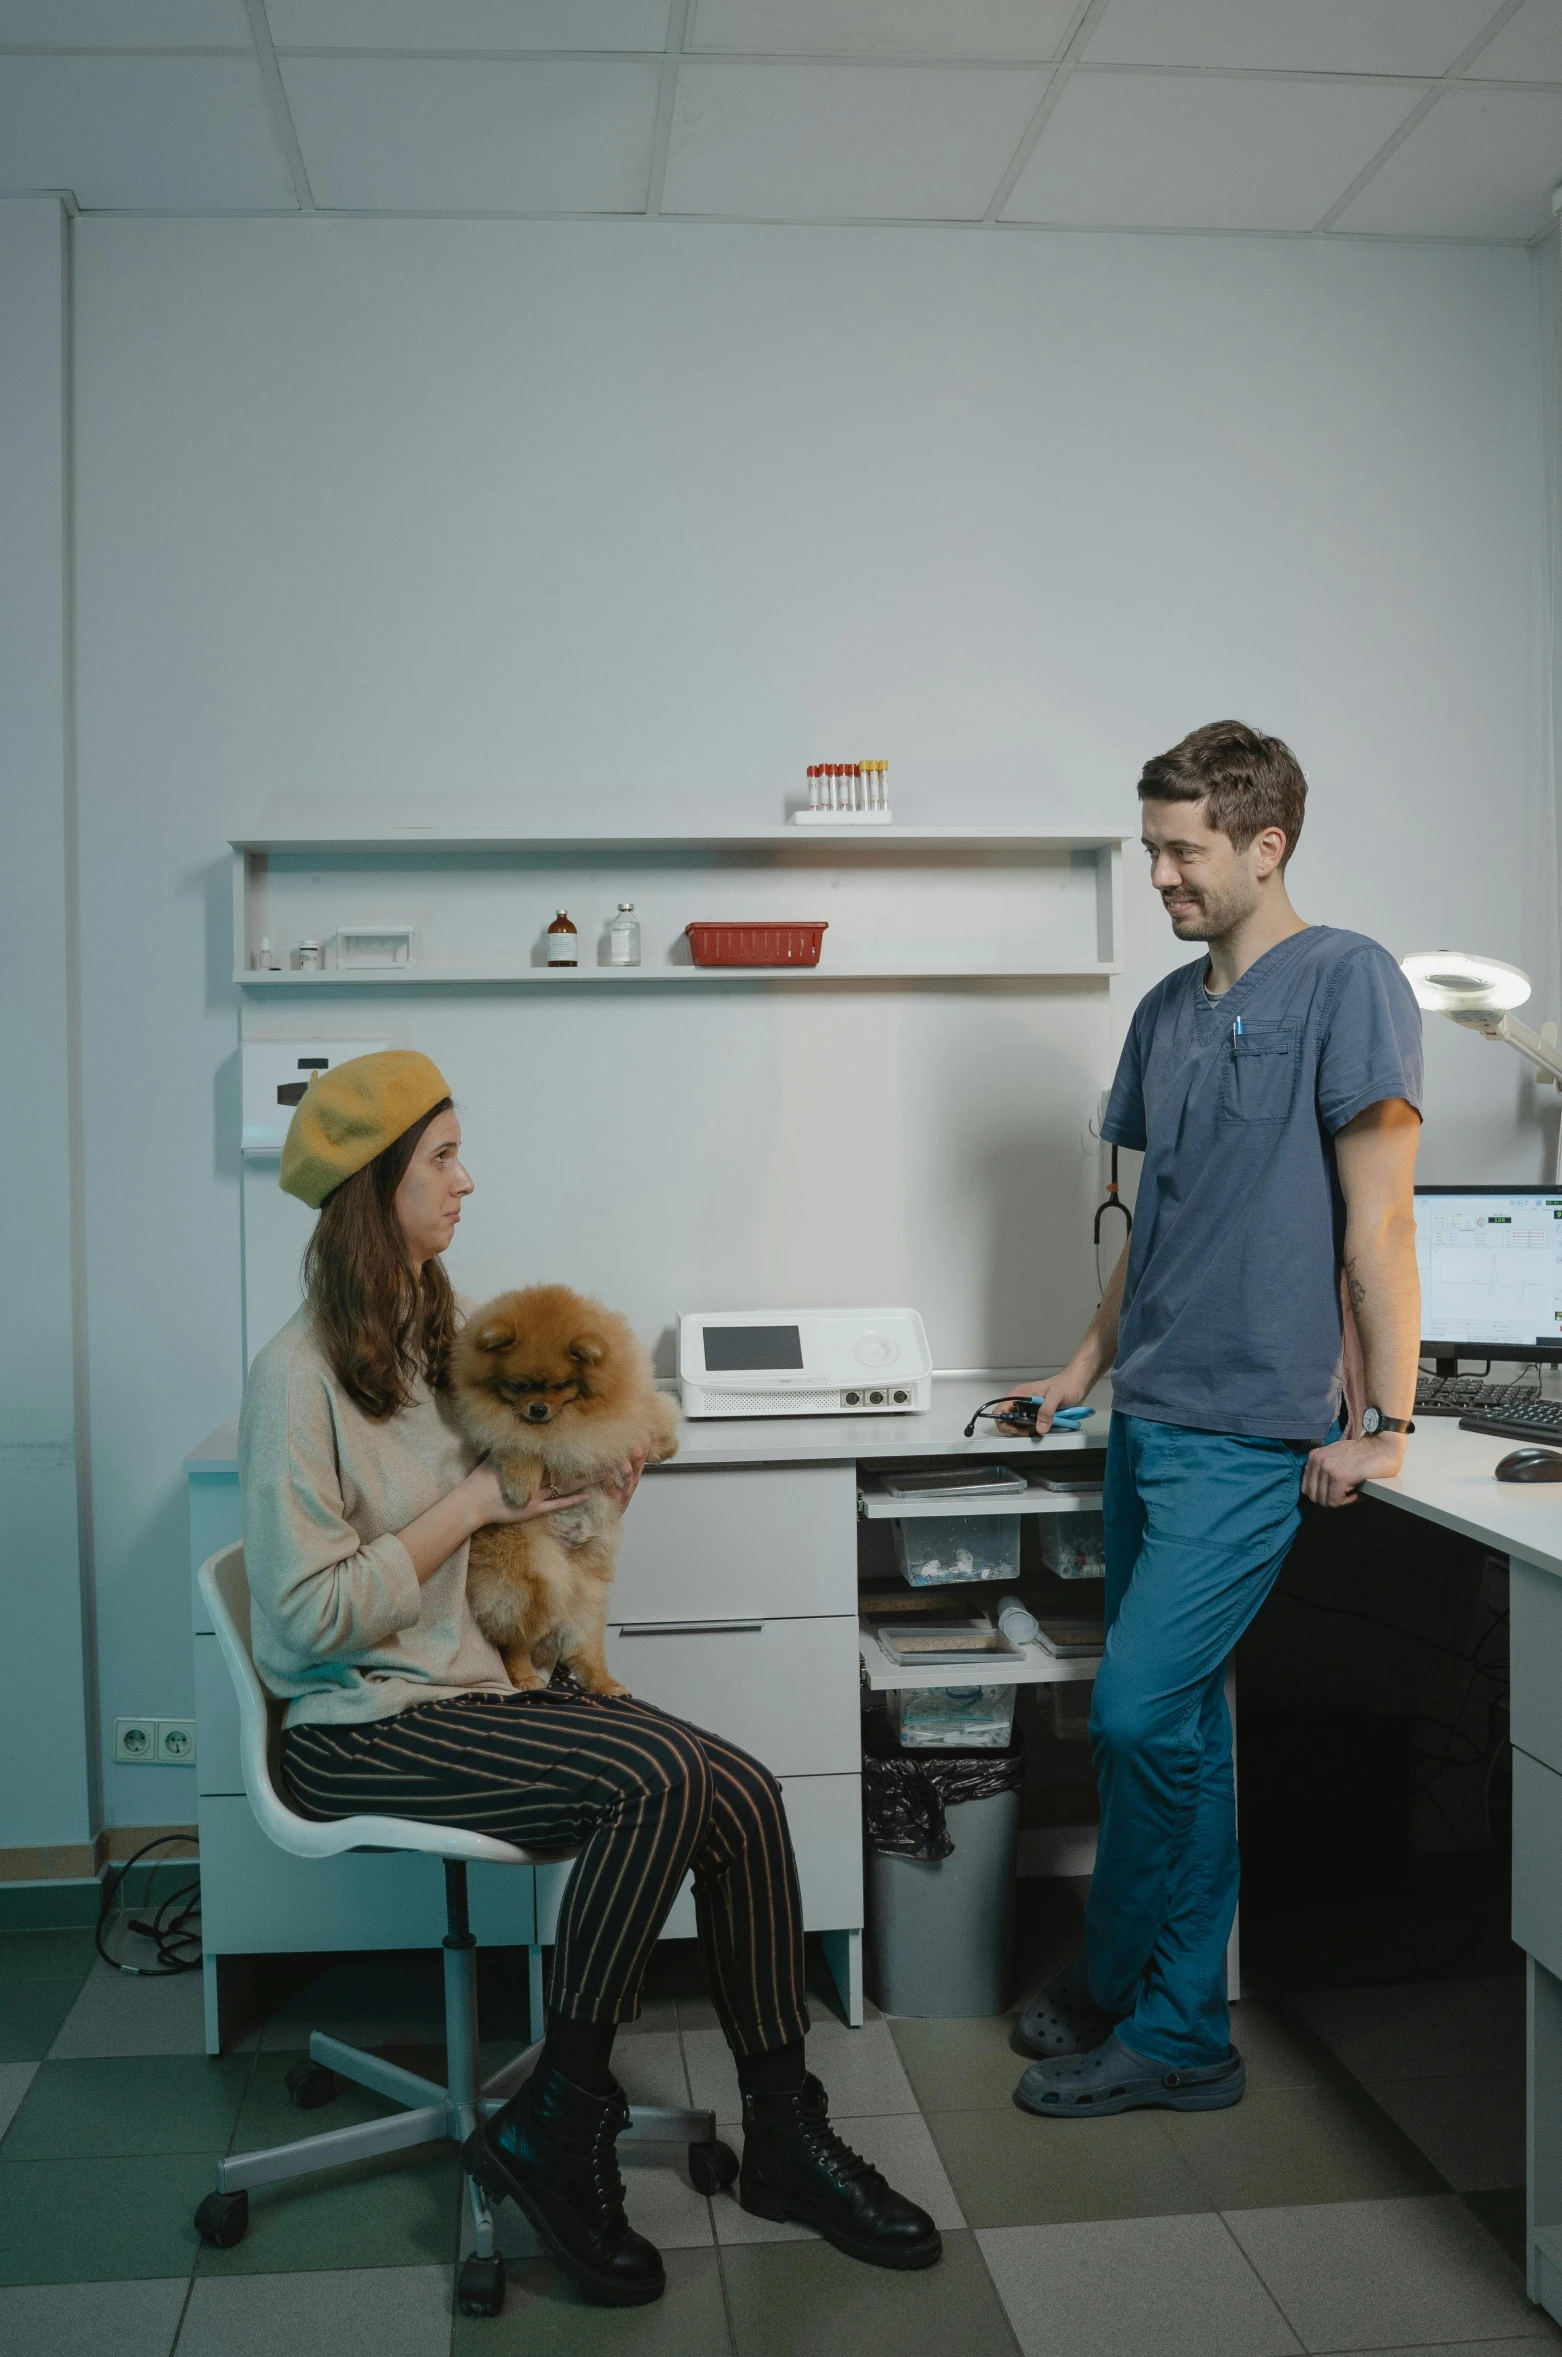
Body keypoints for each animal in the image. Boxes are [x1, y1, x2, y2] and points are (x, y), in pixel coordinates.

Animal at [445, 1291, 678, 1697]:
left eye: (560, 1385)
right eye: (519, 1386)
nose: (538, 1409)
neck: (574, 1416)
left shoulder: (628, 1406)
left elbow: (653, 1411)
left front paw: (666, 1445)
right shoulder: (504, 1427)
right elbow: (519, 1442)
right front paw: (521, 1484)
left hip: (587, 1597)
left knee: (583, 1651)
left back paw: (605, 1683)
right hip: (538, 1583)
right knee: (515, 1644)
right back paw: (525, 1678)